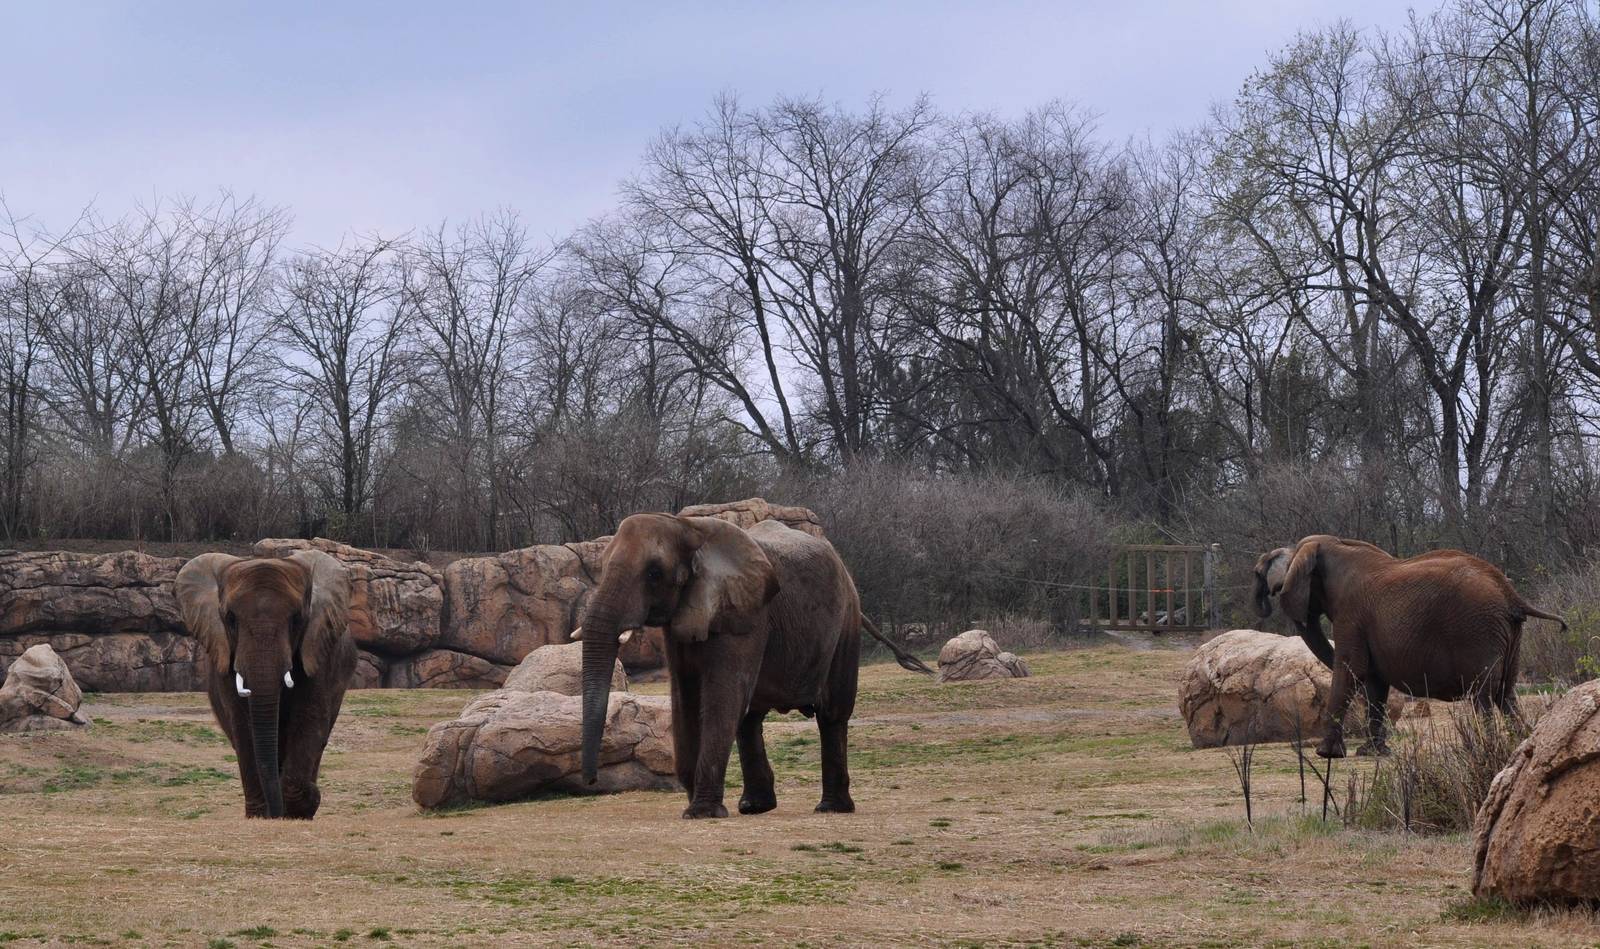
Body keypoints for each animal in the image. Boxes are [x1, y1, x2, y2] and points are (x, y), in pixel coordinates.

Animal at [176, 550, 357, 818]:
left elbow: (308, 718)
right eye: (230, 619)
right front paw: (262, 815)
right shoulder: (224, 660)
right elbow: (242, 726)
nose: (275, 813)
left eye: (297, 619)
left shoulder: (320, 653)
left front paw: (301, 807)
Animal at [578, 513, 887, 819]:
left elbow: (722, 697)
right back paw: (754, 807)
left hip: (846, 622)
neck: (687, 526)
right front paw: (696, 806)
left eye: (654, 573)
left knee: (833, 714)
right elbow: (685, 698)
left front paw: (701, 813)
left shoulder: (748, 615)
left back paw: (831, 808)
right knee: (750, 719)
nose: (591, 780)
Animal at [1253, 534, 1566, 758]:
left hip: (1478, 631)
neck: (1332, 545)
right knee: (1506, 693)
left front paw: (1328, 754)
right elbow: (1374, 681)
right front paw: (1373, 752)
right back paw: (1518, 743)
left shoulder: (1351, 616)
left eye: (1273, 586)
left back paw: (1486, 749)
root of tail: (1512, 595)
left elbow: (1351, 670)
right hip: (1508, 635)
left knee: (1484, 694)